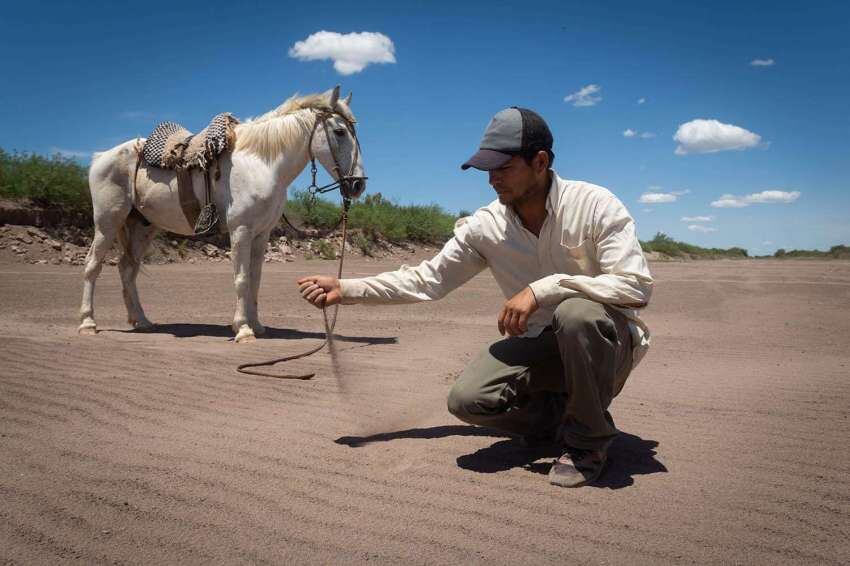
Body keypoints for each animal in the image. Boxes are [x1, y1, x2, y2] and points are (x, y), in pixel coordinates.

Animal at [80, 84, 368, 342]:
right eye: (340, 132)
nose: (358, 185)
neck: (261, 163)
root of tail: (100, 157)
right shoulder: (240, 231)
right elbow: (241, 279)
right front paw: (243, 330)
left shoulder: (261, 235)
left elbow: (255, 279)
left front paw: (257, 325)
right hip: (107, 222)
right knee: (93, 265)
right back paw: (88, 323)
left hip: (142, 227)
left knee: (127, 270)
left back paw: (141, 321)